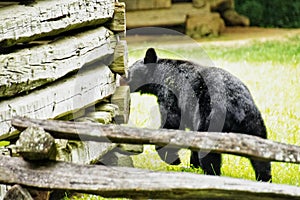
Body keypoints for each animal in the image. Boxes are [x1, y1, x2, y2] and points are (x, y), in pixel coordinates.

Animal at [124, 47, 272, 182]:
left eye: (128, 73)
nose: (122, 80)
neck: (160, 74)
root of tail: (237, 108)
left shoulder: (171, 95)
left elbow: (172, 123)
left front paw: (174, 160)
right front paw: (191, 166)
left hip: (210, 118)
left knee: (209, 155)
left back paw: (211, 174)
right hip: (253, 124)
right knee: (261, 158)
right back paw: (264, 179)